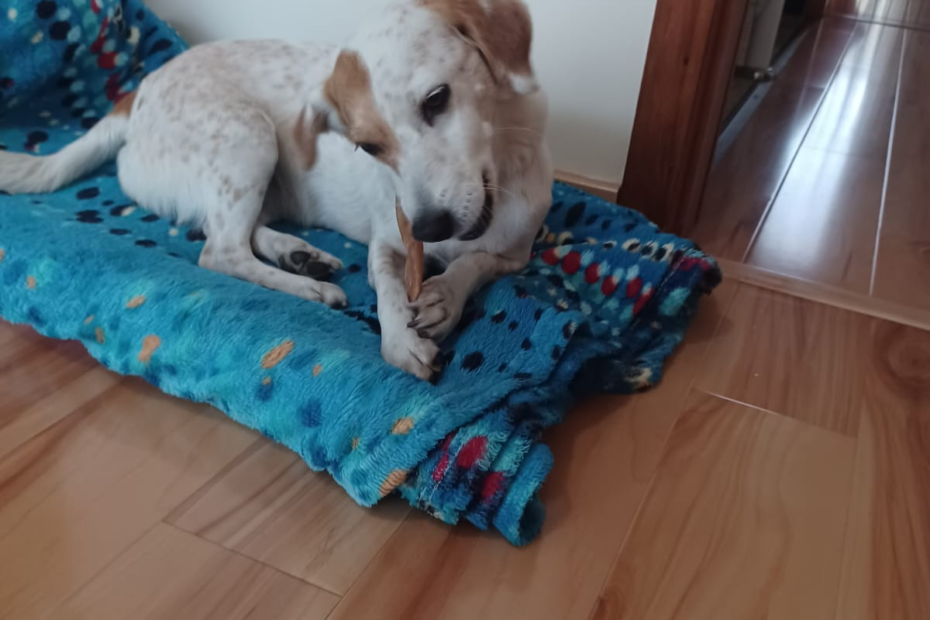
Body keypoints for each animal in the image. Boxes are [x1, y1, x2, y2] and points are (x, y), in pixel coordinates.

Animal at [0, 0, 554, 382]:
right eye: (368, 146)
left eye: (437, 99)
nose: (429, 226)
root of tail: (136, 93)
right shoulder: (386, 242)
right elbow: (390, 291)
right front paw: (401, 339)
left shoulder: (516, 253)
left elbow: (475, 264)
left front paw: (444, 296)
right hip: (250, 136)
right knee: (220, 250)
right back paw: (309, 287)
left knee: (231, 230)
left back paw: (298, 254)